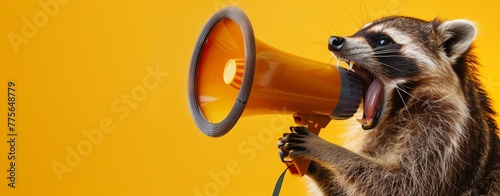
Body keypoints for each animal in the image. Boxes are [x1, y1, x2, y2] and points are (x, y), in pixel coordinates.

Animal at [278, 16, 500, 195]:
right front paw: (315, 167)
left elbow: (405, 183)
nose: (334, 41)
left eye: (383, 41)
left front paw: (324, 148)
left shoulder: (445, 131)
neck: (400, 110)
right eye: (358, 31)